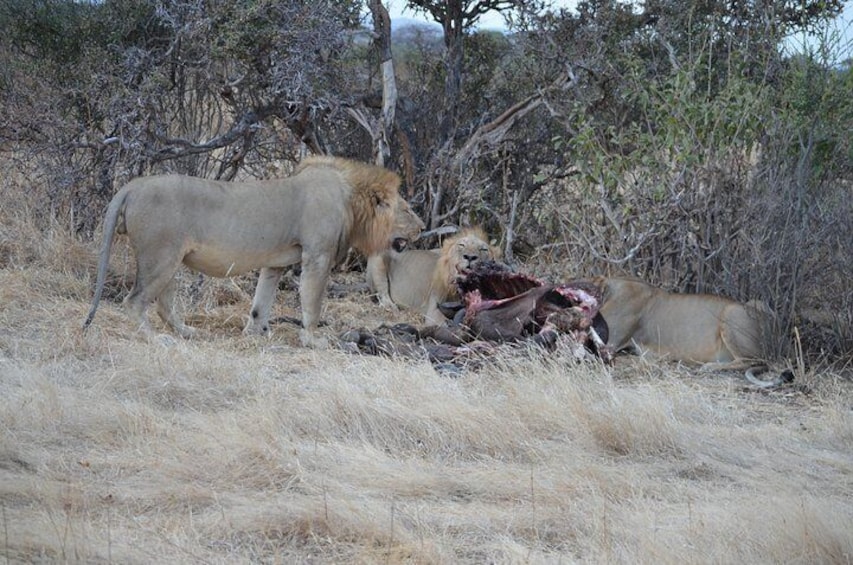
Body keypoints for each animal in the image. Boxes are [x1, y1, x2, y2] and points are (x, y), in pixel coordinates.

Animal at [83, 156, 422, 346]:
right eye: (406, 209)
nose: (421, 227)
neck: (350, 201)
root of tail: (133, 185)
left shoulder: (276, 263)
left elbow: (262, 301)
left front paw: (255, 332)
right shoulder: (317, 256)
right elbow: (312, 304)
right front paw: (313, 339)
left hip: (170, 260)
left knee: (163, 306)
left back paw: (188, 333)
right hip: (160, 257)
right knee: (134, 301)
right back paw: (157, 339)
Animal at [364, 226, 496, 324]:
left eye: (483, 249)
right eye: (461, 245)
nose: (470, 257)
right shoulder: (434, 311)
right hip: (378, 259)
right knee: (382, 294)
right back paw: (391, 307)